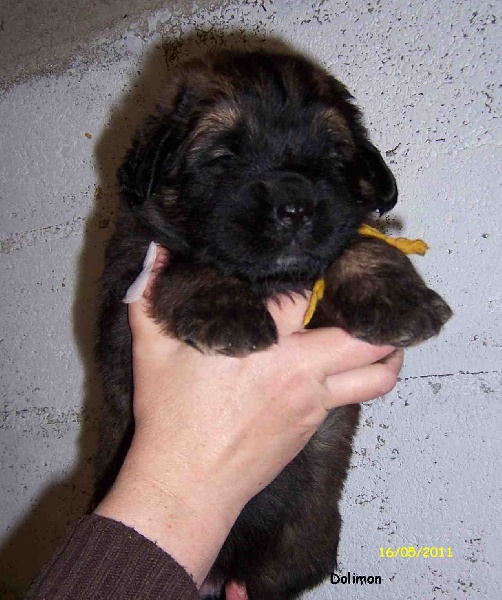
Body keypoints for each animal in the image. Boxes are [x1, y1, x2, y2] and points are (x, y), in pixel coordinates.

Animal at [96, 49, 452, 599]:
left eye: (333, 156)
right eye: (223, 157)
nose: (296, 208)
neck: (271, 282)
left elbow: (360, 242)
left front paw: (399, 300)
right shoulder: (129, 290)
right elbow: (192, 262)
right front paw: (227, 312)